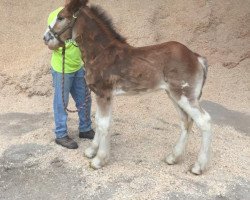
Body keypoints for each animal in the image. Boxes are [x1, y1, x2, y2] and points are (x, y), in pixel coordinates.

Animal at [44, 0, 212, 174]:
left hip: (185, 96)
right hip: (173, 95)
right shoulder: (102, 95)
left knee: (204, 121)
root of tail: (196, 57)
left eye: (61, 17)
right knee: (186, 121)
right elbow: (99, 120)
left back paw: (198, 166)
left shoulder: (104, 94)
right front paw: (91, 151)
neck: (101, 53)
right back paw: (173, 157)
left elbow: (104, 124)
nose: (46, 38)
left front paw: (98, 160)